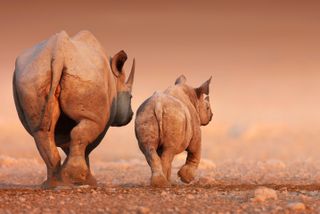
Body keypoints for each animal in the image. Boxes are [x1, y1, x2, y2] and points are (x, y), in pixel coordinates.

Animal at [13, 30, 136, 187]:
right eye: (130, 97)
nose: (131, 115)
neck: (115, 80)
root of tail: (58, 53)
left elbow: (67, 142)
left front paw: (69, 178)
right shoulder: (102, 117)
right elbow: (88, 145)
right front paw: (84, 180)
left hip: (32, 75)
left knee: (41, 132)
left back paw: (52, 184)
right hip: (86, 76)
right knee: (83, 129)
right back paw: (77, 180)